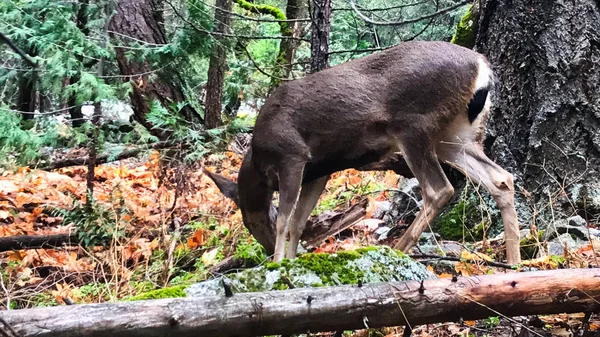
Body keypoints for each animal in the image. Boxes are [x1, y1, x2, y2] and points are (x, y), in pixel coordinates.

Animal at [205, 40, 520, 264]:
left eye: (250, 222)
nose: (268, 250)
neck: (259, 160)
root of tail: (482, 68)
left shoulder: (292, 154)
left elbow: (285, 221)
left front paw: (280, 263)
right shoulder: (319, 171)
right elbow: (298, 222)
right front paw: (292, 261)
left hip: (414, 124)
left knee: (439, 189)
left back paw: (399, 249)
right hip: (455, 136)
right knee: (501, 178)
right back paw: (514, 263)